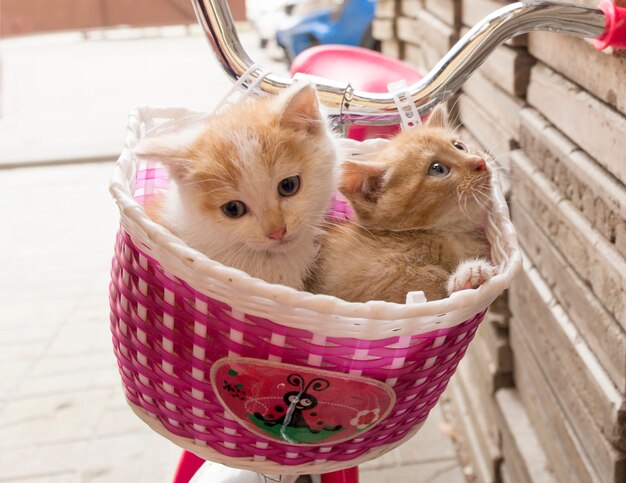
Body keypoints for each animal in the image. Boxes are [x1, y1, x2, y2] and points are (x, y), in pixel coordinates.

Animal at [304, 106, 494, 302]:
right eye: (437, 169)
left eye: (459, 146)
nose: (480, 162)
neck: (452, 232)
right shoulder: (367, 281)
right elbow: (427, 279)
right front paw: (464, 278)